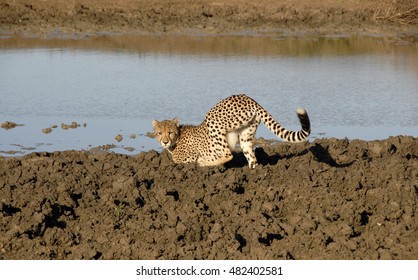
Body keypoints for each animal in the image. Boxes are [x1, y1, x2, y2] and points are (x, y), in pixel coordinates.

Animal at [152, 94, 308, 168]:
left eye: (170, 132)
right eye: (159, 133)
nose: (164, 142)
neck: (177, 139)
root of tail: (249, 98)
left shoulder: (188, 156)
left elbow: (179, 160)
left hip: (213, 120)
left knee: (228, 154)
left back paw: (204, 163)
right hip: (245, 136)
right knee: (252, 159)